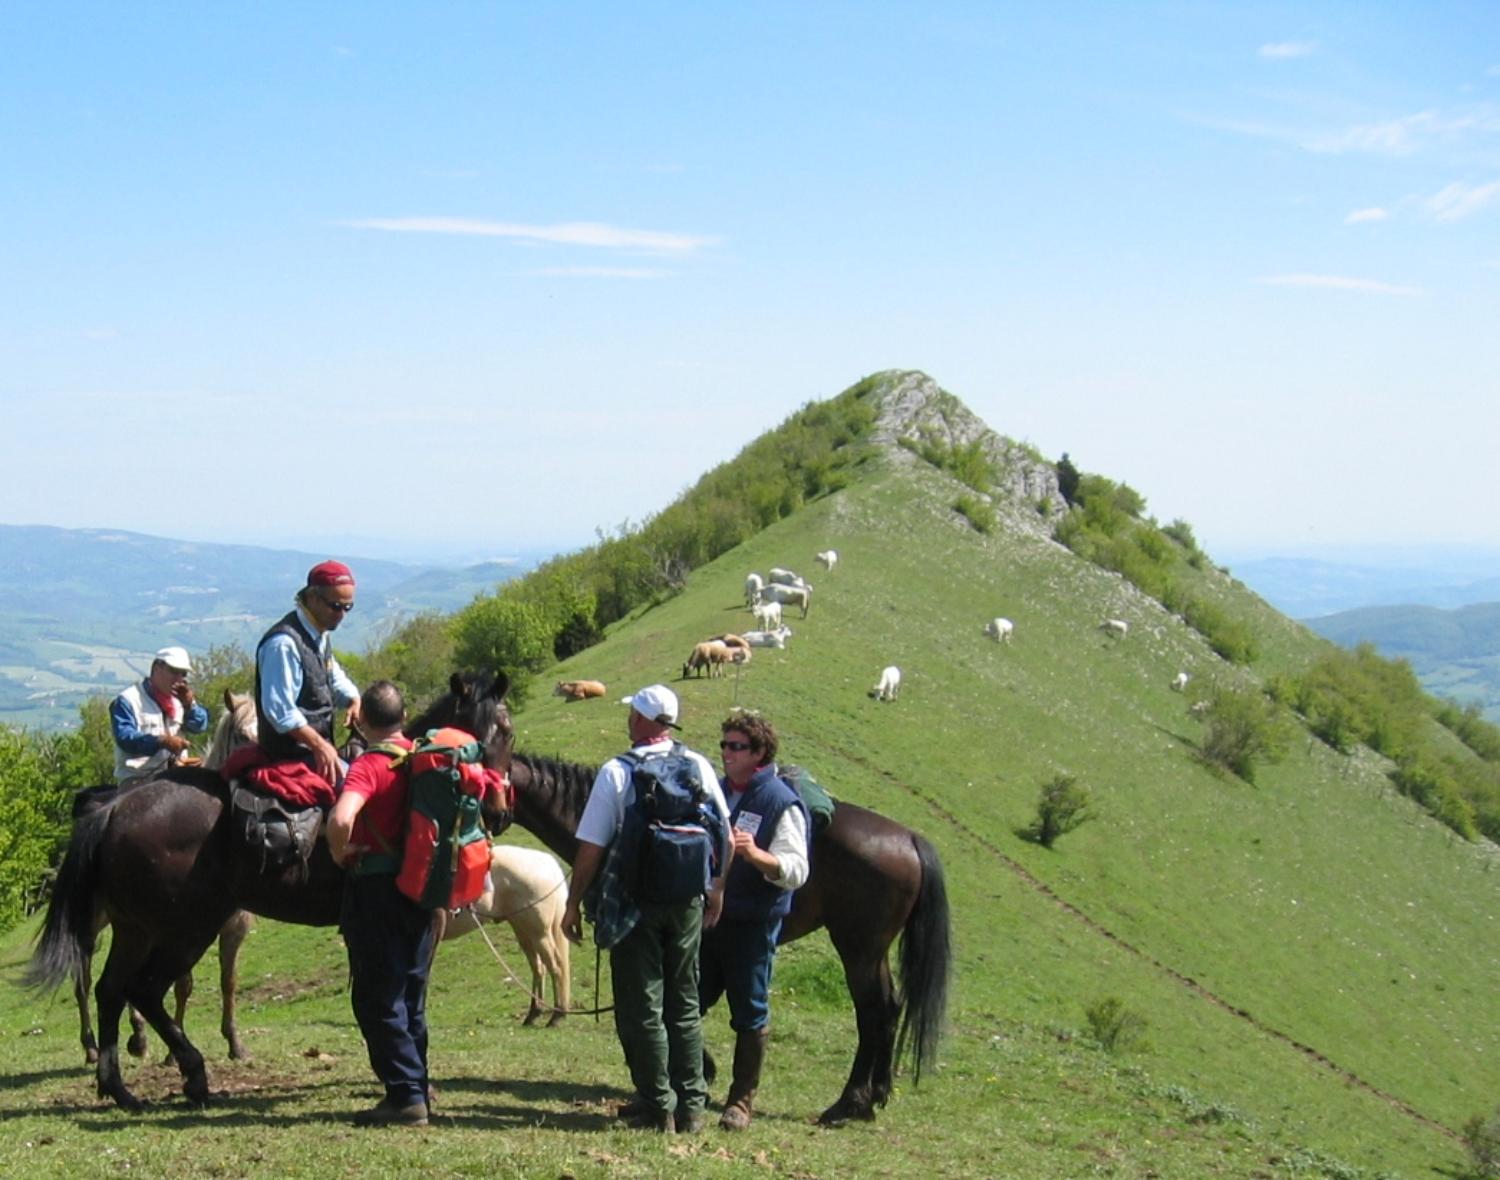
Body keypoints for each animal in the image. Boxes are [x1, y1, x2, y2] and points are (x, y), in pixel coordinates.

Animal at [23, 668, 513, 1109]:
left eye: (506, 732)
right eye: (478, 736)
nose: (497, 808)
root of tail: (116, 808)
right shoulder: (419, 926)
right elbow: (409, 1001)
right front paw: (415, 1085)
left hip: (137, 929)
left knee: (111, 990)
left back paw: (120, 1087)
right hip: (184, 929)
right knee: (140, 990)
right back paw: (189, 1072)